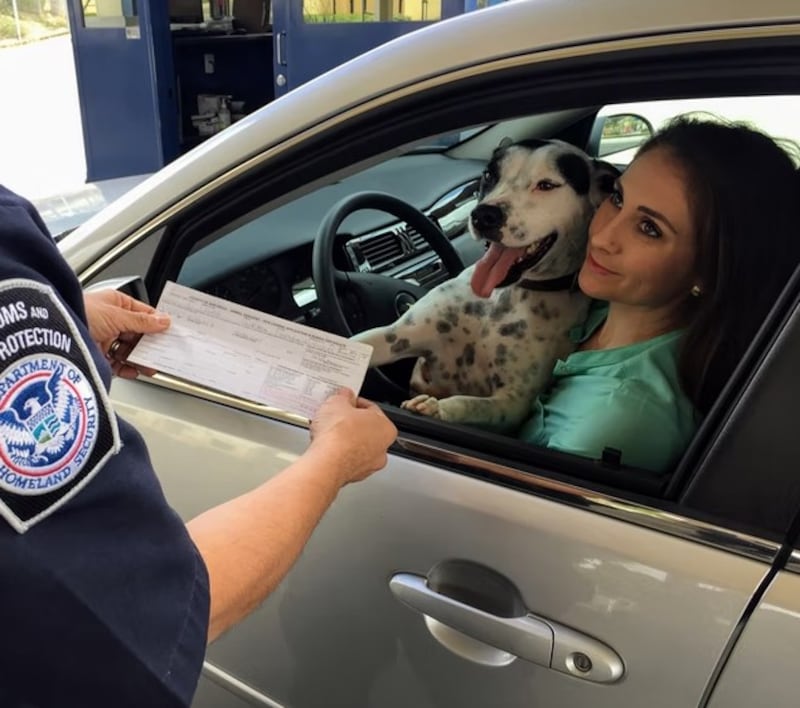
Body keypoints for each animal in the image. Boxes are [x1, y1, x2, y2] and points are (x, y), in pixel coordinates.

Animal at [352, 136, 620, 428]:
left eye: (547, 185)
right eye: (490, 175)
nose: (484, 215)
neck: (504, 297)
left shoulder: (513, 402)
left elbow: (469, 403)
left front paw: (436, 407)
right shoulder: (395, 336)